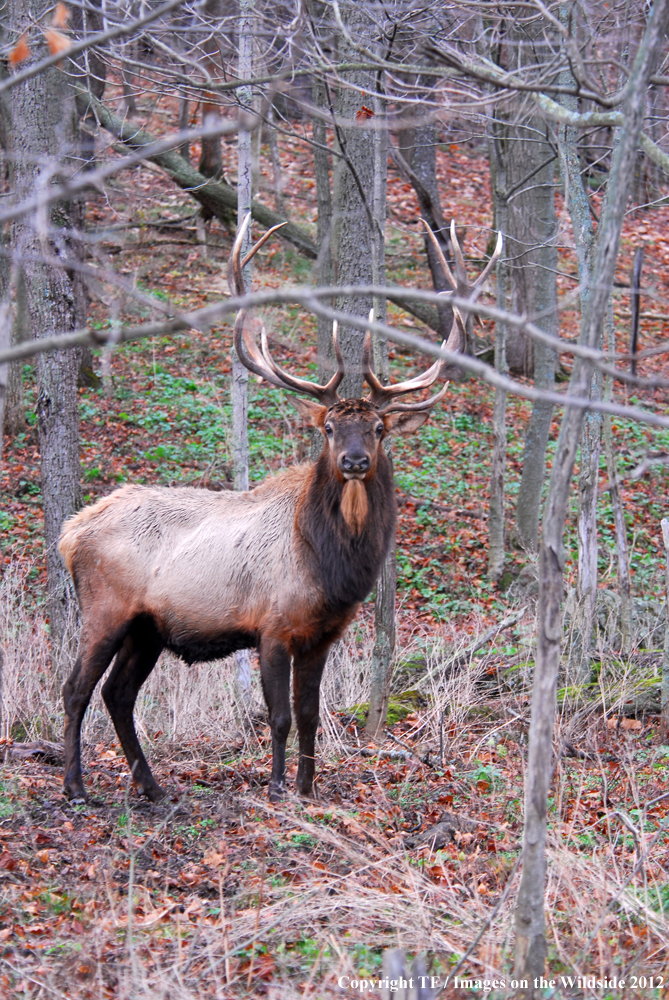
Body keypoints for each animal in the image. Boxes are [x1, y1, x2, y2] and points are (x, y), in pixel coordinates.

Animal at [58, 215, 500, 800]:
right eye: (330, 427)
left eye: (379, 429)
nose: (355, 460)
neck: (328, 566)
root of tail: (70, 532)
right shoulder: (270, 626)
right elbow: (280, 715)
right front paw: (273, 787)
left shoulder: (322, 634)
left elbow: (311, 714)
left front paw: (309, 789)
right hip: (105, 608)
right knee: (76, 688)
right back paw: (76, 786)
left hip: (147, 627)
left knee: (118, 693)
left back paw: (151, 787)